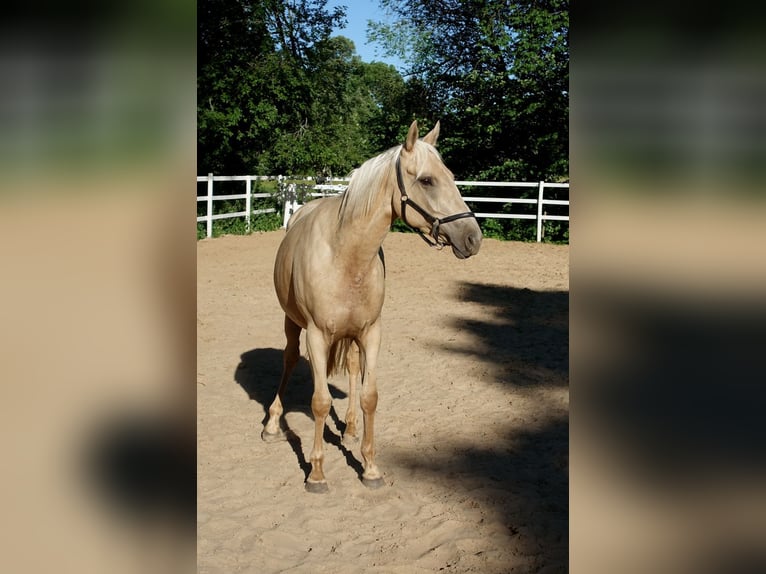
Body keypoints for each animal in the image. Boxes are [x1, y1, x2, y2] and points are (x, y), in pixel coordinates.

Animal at [262, 119, 480, 492]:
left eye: (450, 175)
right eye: (427, 180)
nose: (472, 237)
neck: (346, 255)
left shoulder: (371, 333)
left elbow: (369, 397)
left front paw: (370, 467)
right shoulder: (317, 336)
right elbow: (320, 402)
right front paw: (316, 473)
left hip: (351, 336)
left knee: (351, 368)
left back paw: (349, 429)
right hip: (292, 324)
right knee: (289, 360)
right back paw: (273, 424)